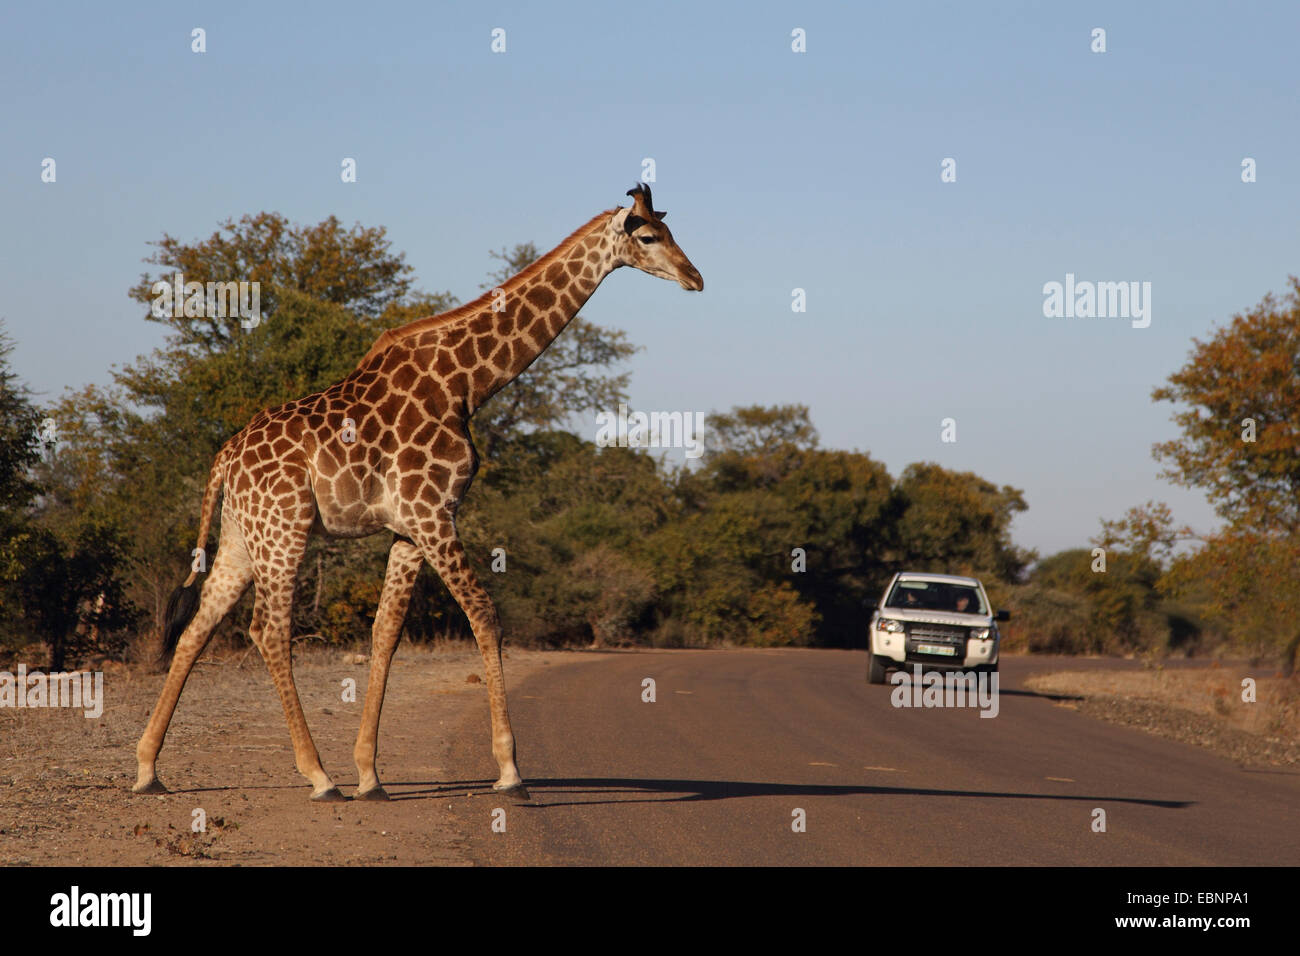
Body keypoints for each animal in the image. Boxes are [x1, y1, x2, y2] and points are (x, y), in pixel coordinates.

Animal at [131, 184, 702, 801]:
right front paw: (510, 771)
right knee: (269, 629)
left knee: (196, 628)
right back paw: (317, 775)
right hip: (285, 528)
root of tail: (224, 460)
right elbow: (484, 613)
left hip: (244, 535)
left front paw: (370, 774)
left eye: (669, 231)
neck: (466, 383)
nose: (695, 277)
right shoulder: (434, 512)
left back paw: (148, 769)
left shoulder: (408, 527)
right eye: (649, 236)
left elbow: (385, 632)